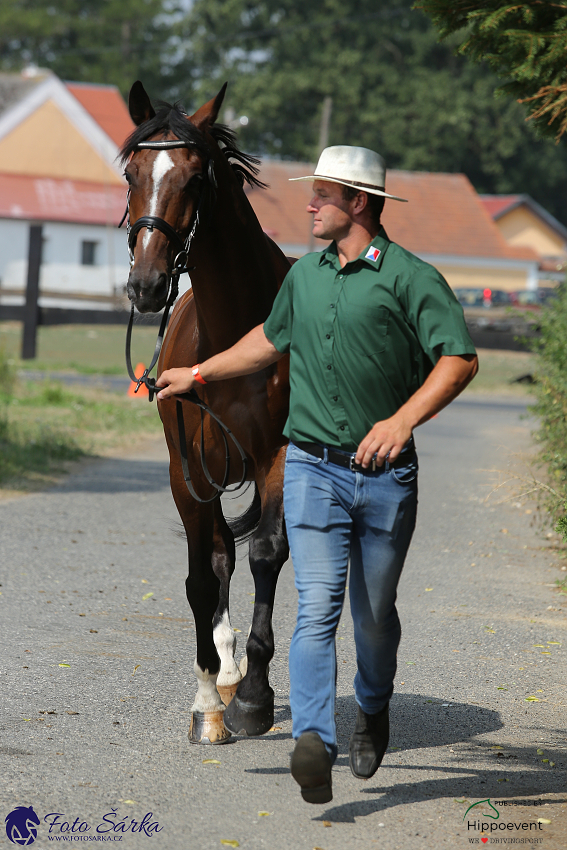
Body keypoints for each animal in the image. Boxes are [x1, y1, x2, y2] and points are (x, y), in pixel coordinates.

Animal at [123, 83, 292, 740]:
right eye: (131, 174)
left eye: (195, 179)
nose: (146, 285)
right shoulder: (187, 471)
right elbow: (202, 576)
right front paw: (208, 704)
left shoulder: (277, 456)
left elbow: (268, 554)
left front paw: (254, 699)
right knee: (218, 553)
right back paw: (222, 668)